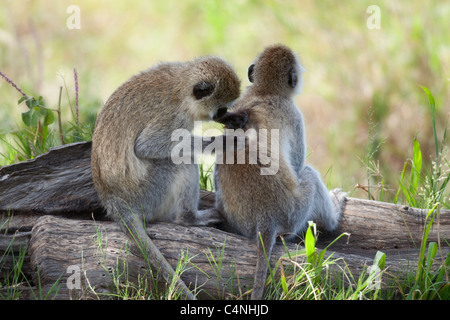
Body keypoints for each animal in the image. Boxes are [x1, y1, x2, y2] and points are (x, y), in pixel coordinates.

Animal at [91, 56, 246, 298]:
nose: (222, 115)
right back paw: (189, 218)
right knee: (181, 161)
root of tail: (113, 200)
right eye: (220, 109)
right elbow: (146, 147)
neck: (181, 85)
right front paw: (220, 142)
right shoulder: (174, 117)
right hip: (150, 194)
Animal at [214, 44, 348, 300]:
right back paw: (333, 217)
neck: (265, 91)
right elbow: (297, 164)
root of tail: (266, 221)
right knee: (309, 176)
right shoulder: (294, 115)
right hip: (294, 213)